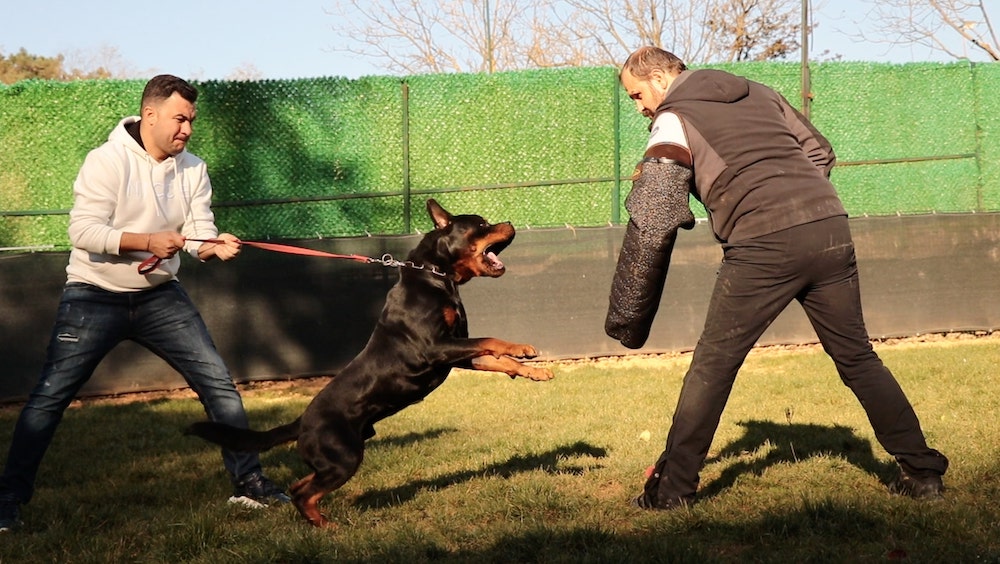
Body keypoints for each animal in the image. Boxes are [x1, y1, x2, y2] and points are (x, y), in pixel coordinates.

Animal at [184, 199, 552, 528]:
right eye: (481, 224)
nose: (510, 222)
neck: (435, 277)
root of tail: (301, 423)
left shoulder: (458, 350)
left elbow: (498, 359)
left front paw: (535, 371)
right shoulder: (436, 347)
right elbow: (491, 340)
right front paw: (524, 348)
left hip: (335, 461)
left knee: (300, 486)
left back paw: (318, 522)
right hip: (344, 457)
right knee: (305, 492)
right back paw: (328, 526)